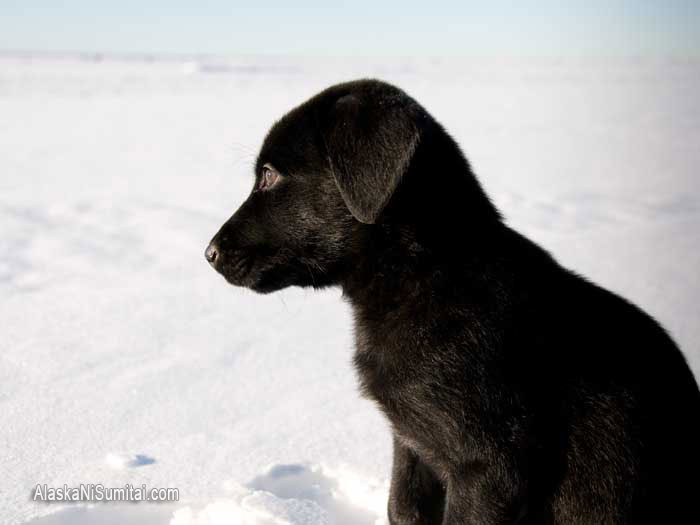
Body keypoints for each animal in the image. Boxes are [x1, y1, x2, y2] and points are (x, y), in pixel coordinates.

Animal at [206, 80, 700, 520]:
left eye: (269, 175)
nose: (208, 254)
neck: (425, 275)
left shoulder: (488, 467)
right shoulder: (411, 445)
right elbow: (401, 508)